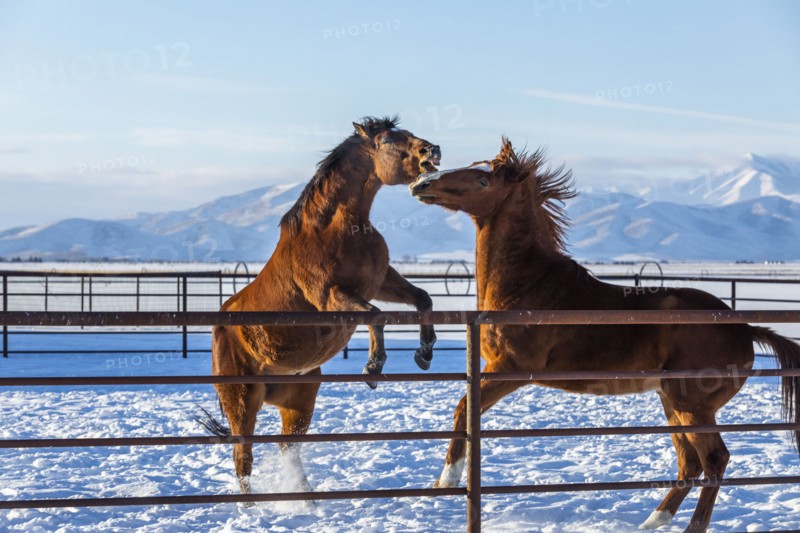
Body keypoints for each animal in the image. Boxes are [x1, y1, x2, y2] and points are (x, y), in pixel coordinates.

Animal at [198, 116, 441, 496]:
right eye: (388, 140)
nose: (432, 151)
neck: (336, 229)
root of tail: (220, 325)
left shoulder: (381, 281)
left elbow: (422, 298)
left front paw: (425, 352)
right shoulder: (331, 296)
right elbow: (377, 315)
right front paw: (373, 368)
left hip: (299, 401)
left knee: (287, 448)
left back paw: (305, 500)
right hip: (241, 401)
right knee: (243, 455)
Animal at [409, 138, 800, 533]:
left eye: (483, 180)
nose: (421, 182)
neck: (528, 285)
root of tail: (746, 328)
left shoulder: (512, 369)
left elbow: (463, 409)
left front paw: (448, 480)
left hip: (693, 407)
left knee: (715, 460)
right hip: (672, 402)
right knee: (690, 463)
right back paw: (652, 522)